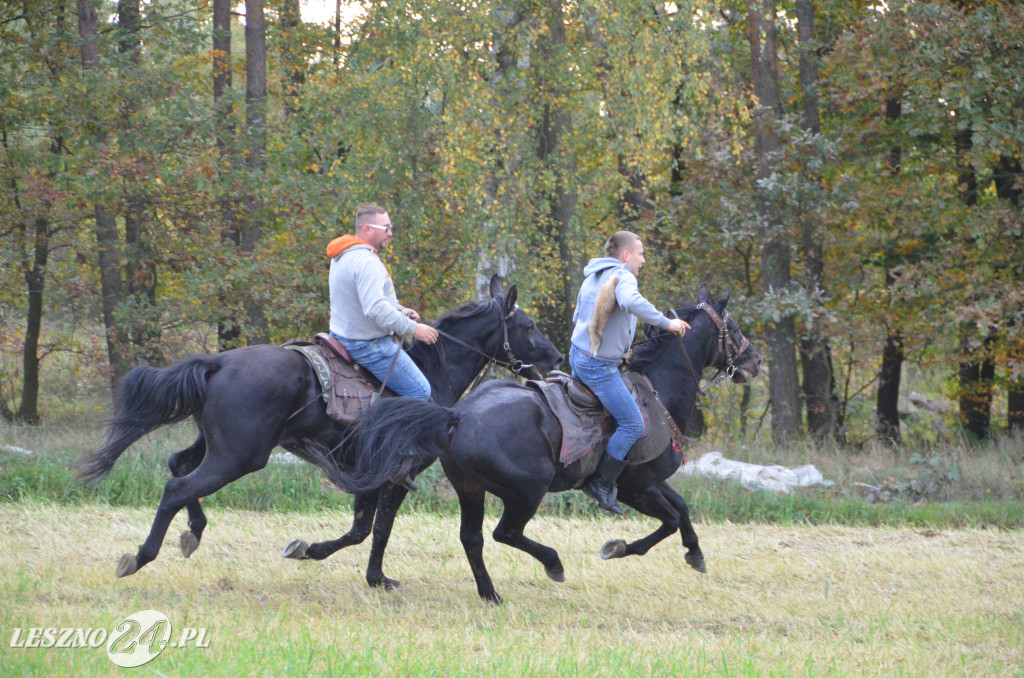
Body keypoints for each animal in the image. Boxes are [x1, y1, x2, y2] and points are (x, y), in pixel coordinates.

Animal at [77, 276, 561, 589]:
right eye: (529, 325)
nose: (556, 359)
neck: (433, 369)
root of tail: (218, 361)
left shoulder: (372, 475)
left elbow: (368, 529)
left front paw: (373, 576)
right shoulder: (395, 475)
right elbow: (372, 529)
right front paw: (329, 559)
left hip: (217, 446)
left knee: (178, 466)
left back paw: (192, 533)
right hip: (237, 457)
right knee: (177, 487)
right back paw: (141, 556)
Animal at [335, 284, 761, 602]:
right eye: (736, 328)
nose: (754, 362)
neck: (657, 393)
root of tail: (458, 416)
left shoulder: (652, 483)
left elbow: (682, 509)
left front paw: (695, 552)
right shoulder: (635, 488)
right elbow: (670, 519)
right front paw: (621, 548)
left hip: (471, 489)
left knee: (472, 538)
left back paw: (490, 594)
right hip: (527, 490)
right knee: (504, 533)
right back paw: (552, 564)